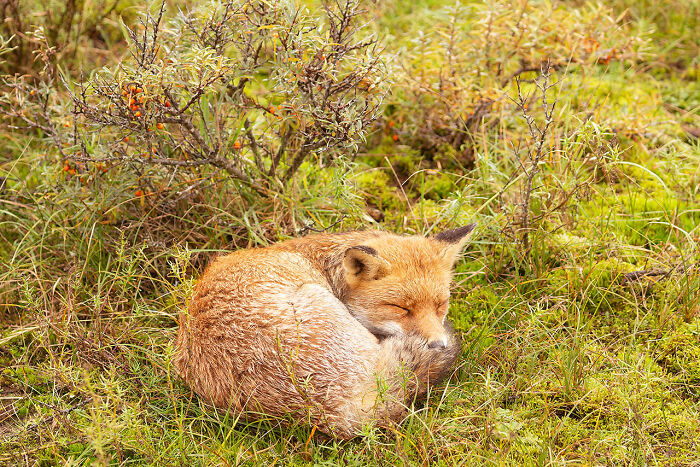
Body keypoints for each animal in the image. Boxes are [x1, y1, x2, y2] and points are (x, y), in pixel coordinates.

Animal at [173, 224, 475, 439]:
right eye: (400, 307)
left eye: (441, 304)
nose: (438, 345)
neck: (323, 264)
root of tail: (333, 412)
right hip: (316, 297)